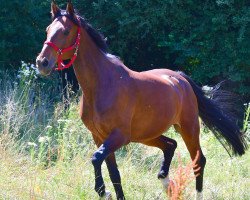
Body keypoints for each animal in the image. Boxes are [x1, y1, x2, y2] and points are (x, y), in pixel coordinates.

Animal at [36, 1, 247, 200]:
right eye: (47, 29)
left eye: (65, 31)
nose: (42, 63)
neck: (102, 85)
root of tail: (180, 78)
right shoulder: (100, 137)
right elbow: (114, 174)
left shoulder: (118, 136)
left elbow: (96, 159)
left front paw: (103, 192)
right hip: (147, 135)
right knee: (170, 145)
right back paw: (165, 181)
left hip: (188, 128)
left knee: (198, 160)